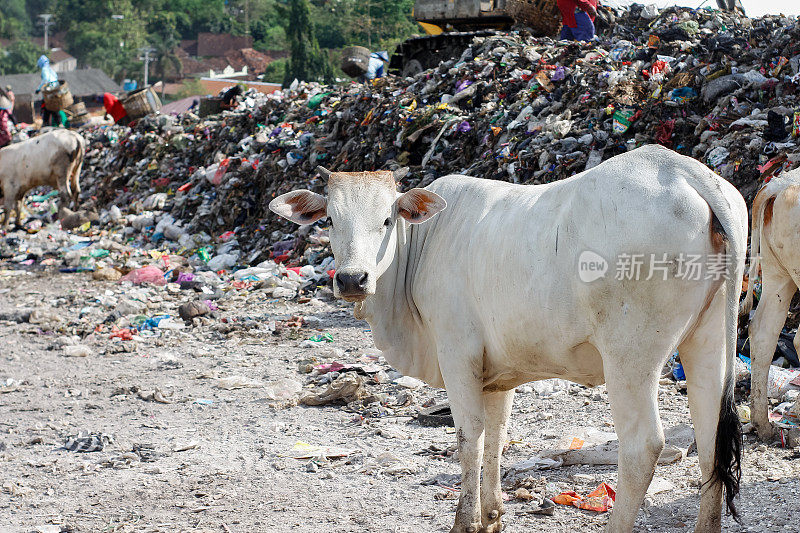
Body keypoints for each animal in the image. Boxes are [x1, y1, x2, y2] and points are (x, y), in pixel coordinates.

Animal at [272, 144, 748, 532]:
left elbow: (469, 438)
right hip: (706, 340)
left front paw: (465, 522)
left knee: (642, 446)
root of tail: (683, 170)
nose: (352, 279)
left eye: (386, 219)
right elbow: (497, 436)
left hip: (631, 357)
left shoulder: (457, 355)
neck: (421, 246)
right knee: (710, 436)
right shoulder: (496, 376)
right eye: (331, 220)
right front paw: (491, 516)